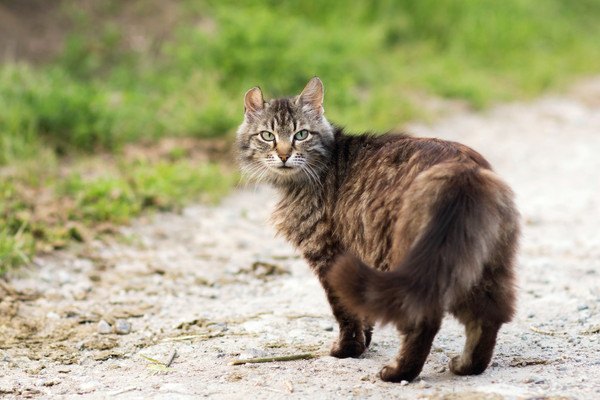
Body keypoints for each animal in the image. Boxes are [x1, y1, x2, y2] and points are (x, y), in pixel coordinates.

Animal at [237, 77, 516, 382]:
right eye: (267, 136)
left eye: (301, 135)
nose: (284, 154)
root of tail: (461, 169)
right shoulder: (360, 256)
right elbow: (362, 307)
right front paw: (364, 343)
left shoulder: (329, 254)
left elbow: (344, 311)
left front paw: (347, 350)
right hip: (484, 265)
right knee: (488, 316)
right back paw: (468, 366)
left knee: (424, 319)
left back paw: (398, 372)